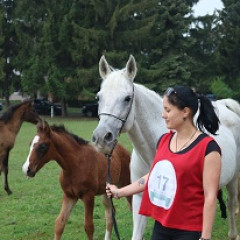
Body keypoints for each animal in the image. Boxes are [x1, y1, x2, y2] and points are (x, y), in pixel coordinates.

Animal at [91, 54, 240, 240]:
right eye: (99, 97)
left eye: (127, 98)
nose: (101, 138)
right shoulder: (139, 196)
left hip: (233, 179)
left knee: (231, 204)